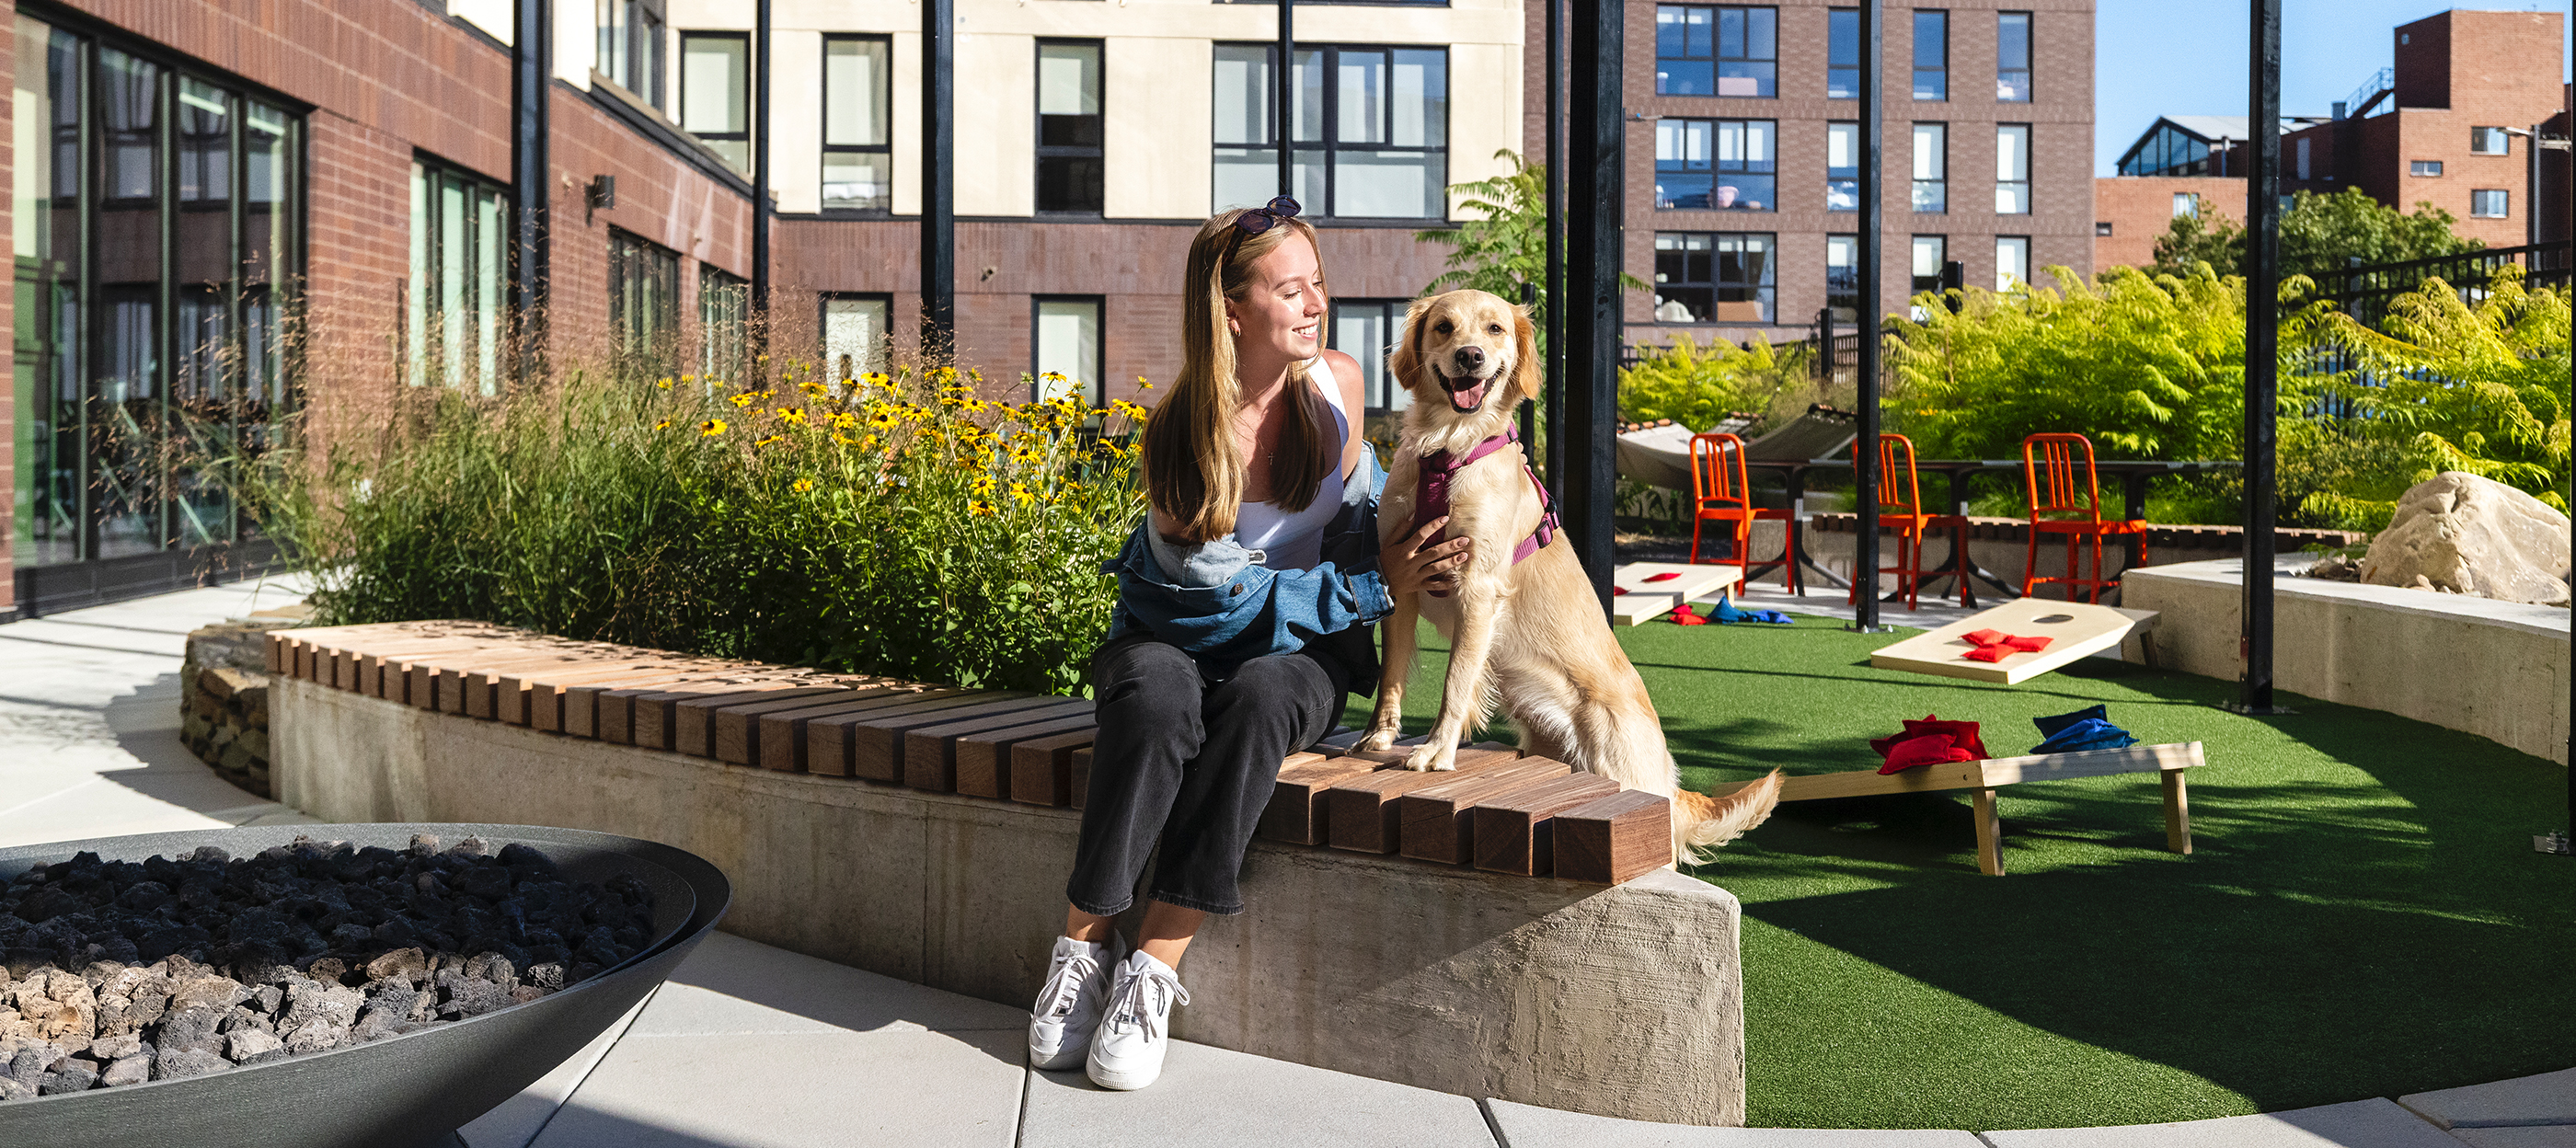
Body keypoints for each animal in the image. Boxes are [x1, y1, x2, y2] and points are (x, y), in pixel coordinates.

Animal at [1360, 287, 1782, 859]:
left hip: (1611, 749)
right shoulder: (1402, 578)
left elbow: (1456, 682)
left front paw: (1435, 751)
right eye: (1444, 327)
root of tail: (1671, 782)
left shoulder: (1478, 588)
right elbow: (1392, 676)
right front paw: (1379, 737)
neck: (1449, 447)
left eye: (1495, 329)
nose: (1470, 356)